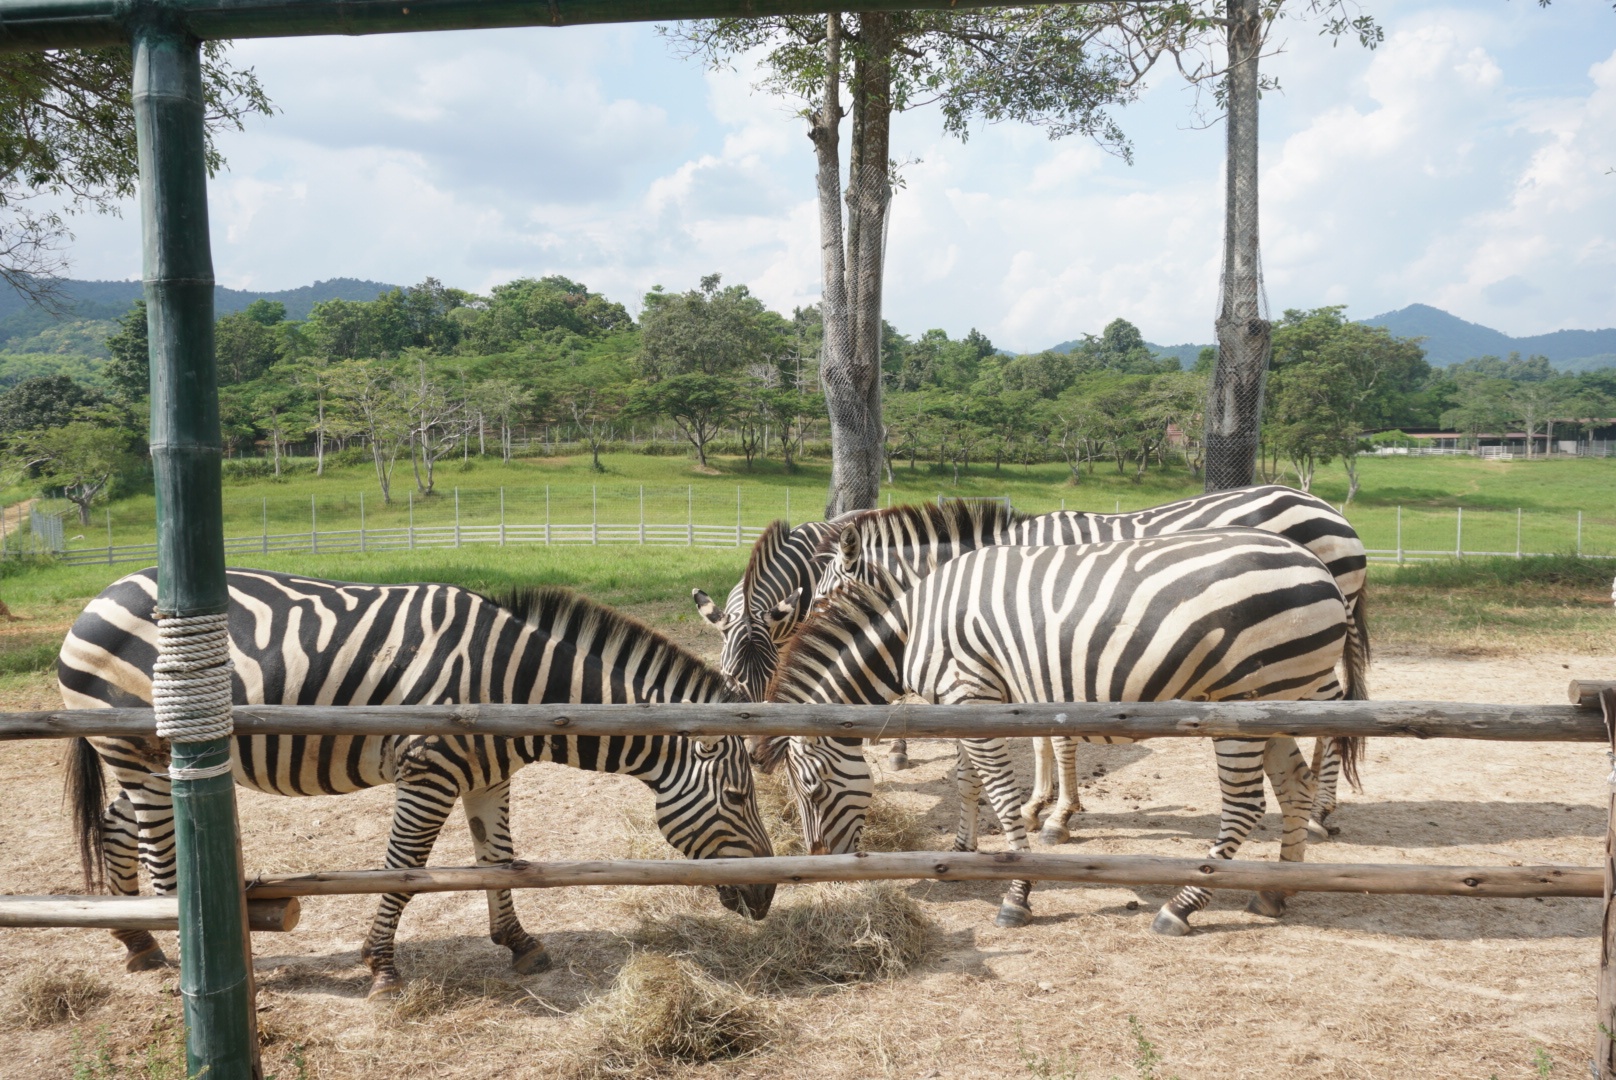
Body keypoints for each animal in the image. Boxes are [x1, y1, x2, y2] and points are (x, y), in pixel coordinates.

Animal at [66, 569, 785, 1002]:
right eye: (740, 798)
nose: (769, 897)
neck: (514, 686)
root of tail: (105, 590)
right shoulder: (429, 771)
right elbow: (405, 869)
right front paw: (382, 968)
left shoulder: (487, 777)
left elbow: (499, 861)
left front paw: (520, 946)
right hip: (140, 751)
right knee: (159, 855)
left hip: (141, 762)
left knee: (115, 827)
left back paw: (139, 944)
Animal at [759, 536, 1350, 931]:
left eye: (810, 788)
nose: (822, 866)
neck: (909, 633)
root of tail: (1317, 565)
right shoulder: (971, 701)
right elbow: (966, 781)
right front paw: (959, 854)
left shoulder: (970, 691)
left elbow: (999, 793)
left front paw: (1017, 892)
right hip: (1275, 700)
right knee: (1295, 786)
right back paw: (1275, 892)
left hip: (1241, 707)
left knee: (1246, 803)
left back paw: (1181, 906)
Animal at [814, 488, 1370, 834]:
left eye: (827, 596)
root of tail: (1331, 509)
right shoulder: (1030, 657)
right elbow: (1037, 736)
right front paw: (1038, 804)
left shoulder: (1054, 650)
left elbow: (1058, 738)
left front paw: (1058, 815)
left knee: (1333, 708)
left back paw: (1320, 810)